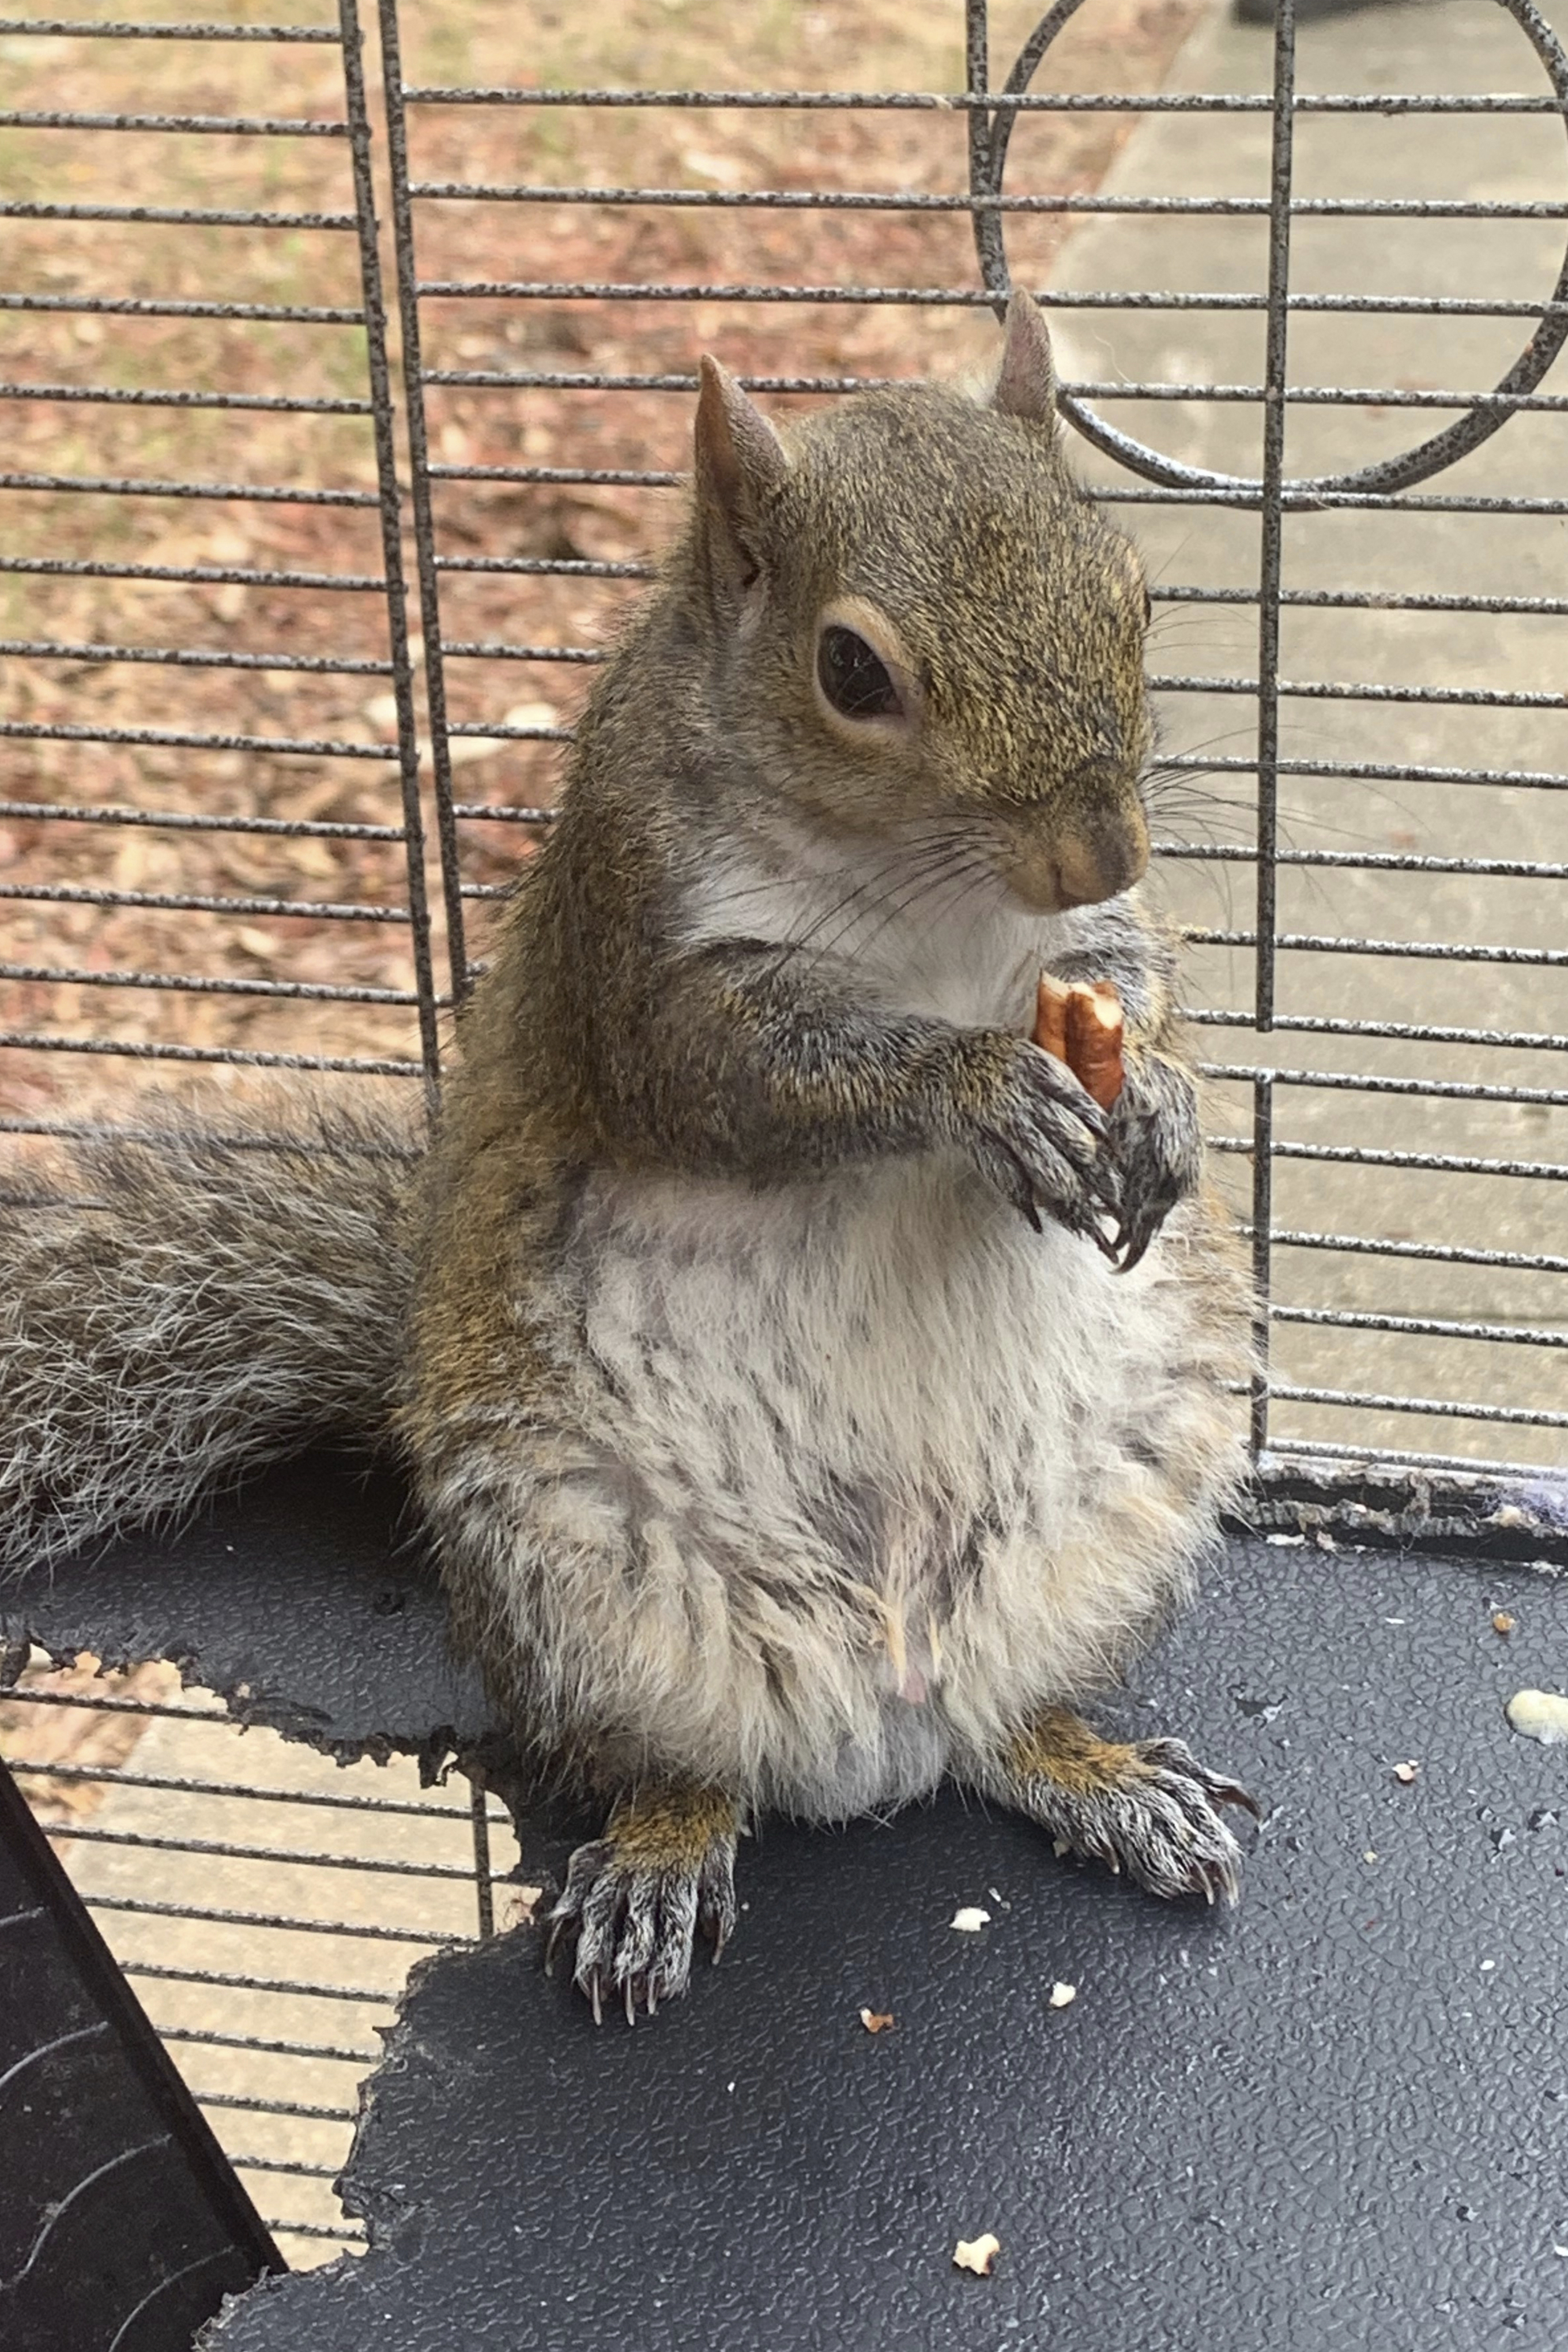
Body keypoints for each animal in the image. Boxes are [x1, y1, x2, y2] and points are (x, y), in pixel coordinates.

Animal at [1, 293, 1257, 2022]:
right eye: (850, 669)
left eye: (1133, 591)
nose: (1101, 847)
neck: (925, 906)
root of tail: (886, 1698)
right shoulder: (636, 938)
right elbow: (731, 1078)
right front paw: (980, 1089)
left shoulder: (1088, 951)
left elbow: (1135, 986)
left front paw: (1168, 1108)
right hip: (573, 1574)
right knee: (675, 1765)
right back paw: (660, 1857)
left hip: (1119, 1515)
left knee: (1003, 1728)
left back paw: (1103, 1772)